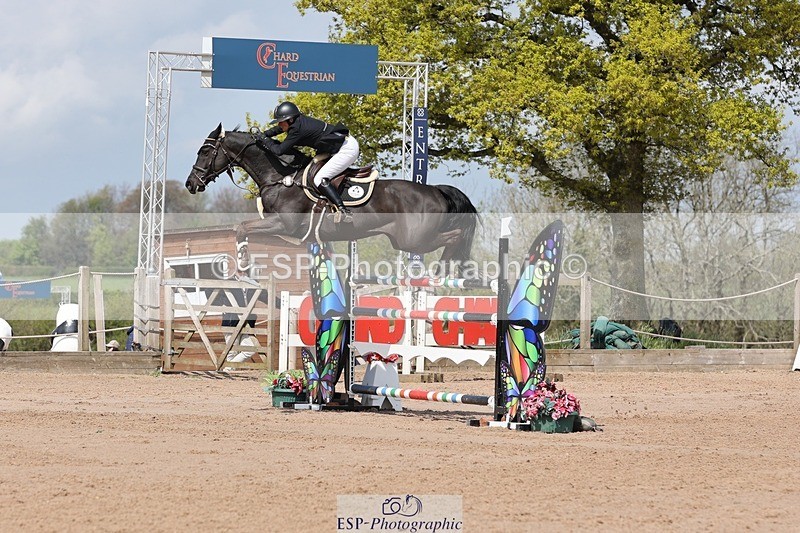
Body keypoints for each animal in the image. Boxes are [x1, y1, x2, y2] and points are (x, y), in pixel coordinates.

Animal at [185, 124, 479, 273]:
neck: (280, 175)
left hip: (414, 239)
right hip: (405, 240)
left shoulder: (283, 224)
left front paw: (243, 262)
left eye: (204, 152)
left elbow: (241, 227)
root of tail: (436, 190)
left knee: (453, 237)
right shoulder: (286, 230)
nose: (190, 184)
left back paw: (441, 270)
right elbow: (245, 229)